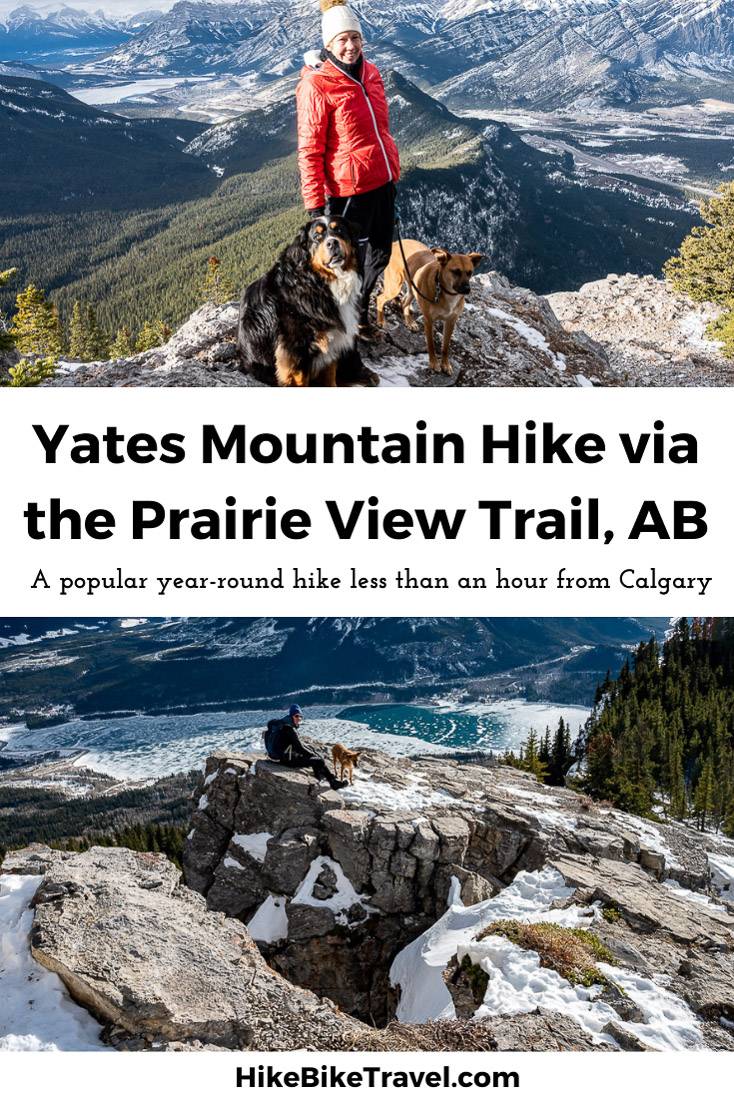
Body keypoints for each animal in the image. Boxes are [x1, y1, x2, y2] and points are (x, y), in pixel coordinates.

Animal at [236, 214, 376, 387]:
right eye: (317, 237)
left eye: (339, 230)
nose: (332, 243)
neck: (316, 281)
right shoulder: (295, 351)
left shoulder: (331, 344)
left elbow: (330, 378)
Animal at [376, 238, 484, 376]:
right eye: (456, 271)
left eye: (470, 273)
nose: (467, 289)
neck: (446, 292)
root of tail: (396, 243)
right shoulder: (428, 320)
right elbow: (431, 344)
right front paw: (433, 364)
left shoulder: (451, 321)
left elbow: (445, 347)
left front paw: (445, 365)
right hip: (395, 286)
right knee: (380, 298)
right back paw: (380, 321)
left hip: (413, 289)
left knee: (404, 302)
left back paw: (410, 322)